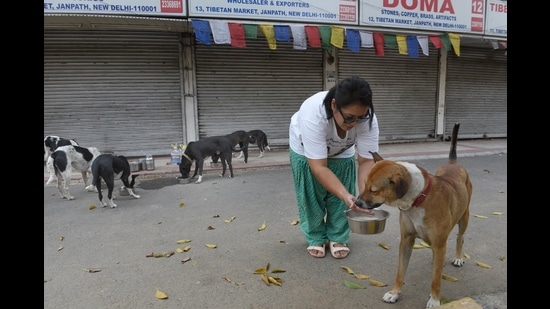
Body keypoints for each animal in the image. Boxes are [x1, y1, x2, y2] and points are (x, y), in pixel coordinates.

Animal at [358, 122, 474, 308]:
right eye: (364, 184)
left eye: (373, 190)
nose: (357, 203)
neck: (418, 199)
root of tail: (453, 163)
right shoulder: (406, 240)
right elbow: (400, 272)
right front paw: (394, 293)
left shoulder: (439, 243)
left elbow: (436, 279)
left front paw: (434, 299)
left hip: (464, 217)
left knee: (460, 237)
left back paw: (457, 257)